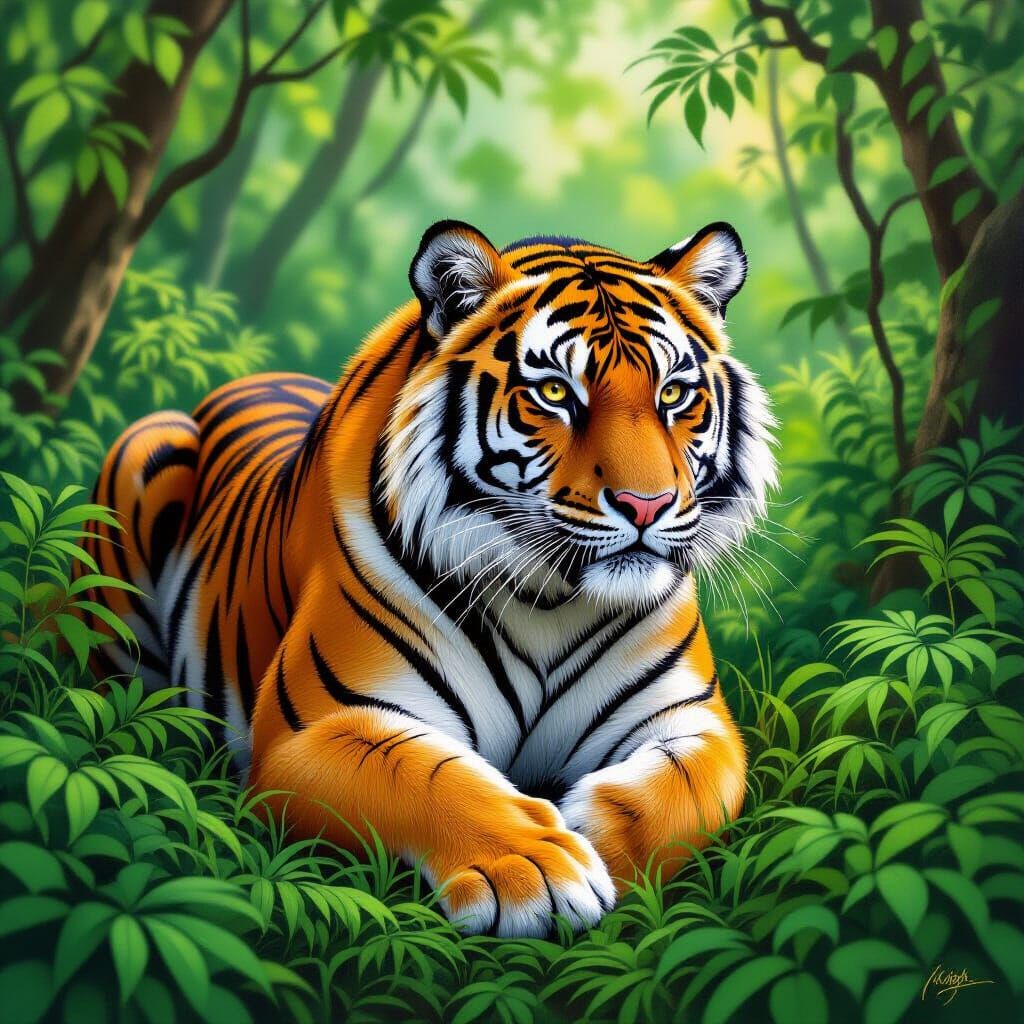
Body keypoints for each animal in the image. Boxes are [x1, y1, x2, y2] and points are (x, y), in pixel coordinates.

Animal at [81, 219, 776, 937]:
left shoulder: (695, 720)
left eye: (673, 394)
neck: (550, 602)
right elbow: (431, 778)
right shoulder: (315, 727)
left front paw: (598, 844)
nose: (646, 505)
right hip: (144, 457)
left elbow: (683, 795)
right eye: (555, 392)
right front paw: (536, 869)